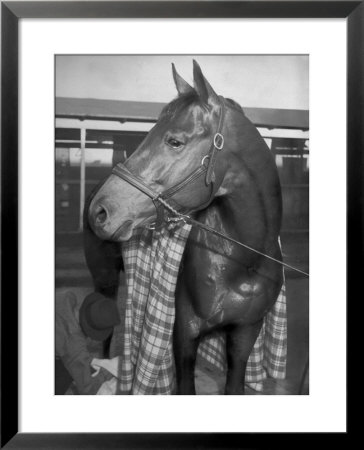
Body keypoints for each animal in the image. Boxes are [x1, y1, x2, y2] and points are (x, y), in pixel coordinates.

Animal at [86, 60, 282, 394]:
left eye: (175, 141)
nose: (100, 211)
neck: (243, 261)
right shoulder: (184, 335)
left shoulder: (245, 333)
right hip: (106, 281)